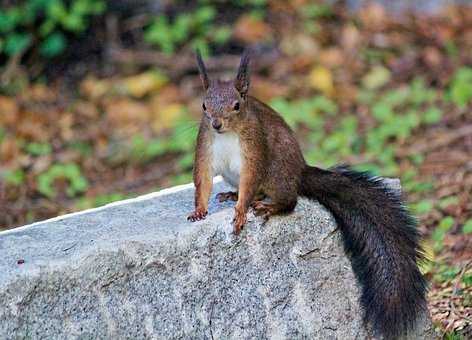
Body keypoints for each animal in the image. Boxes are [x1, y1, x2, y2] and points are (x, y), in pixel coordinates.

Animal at [187, 49, 428, 340]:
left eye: (236, 106)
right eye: (204, 106)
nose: (216, 123)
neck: (227, 135)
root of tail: (300, 172)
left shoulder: (254, 150)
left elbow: (250, 180)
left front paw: (241, 211)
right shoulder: (205, 145)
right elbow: (202, 180)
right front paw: (199, 210)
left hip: (277, 173)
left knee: (289, 200)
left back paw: (268, 206)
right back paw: (232, 195)